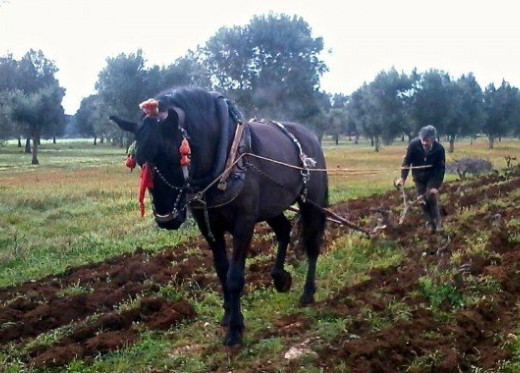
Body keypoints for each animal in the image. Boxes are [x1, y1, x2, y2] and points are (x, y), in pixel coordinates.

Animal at [110, 87, 330, 346]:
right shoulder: (210, 227)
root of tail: (310, 136)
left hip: (312, 203)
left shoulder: (244, 223)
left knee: (312, 243)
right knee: (284, 230)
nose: (166, 219)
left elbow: (235, 276)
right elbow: (222, 270)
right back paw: (279, 278)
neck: (226, 158)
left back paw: (307, 292)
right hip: (272, 206)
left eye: (175, 157)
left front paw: (235, 330)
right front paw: (229, 315)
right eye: (139, 161)